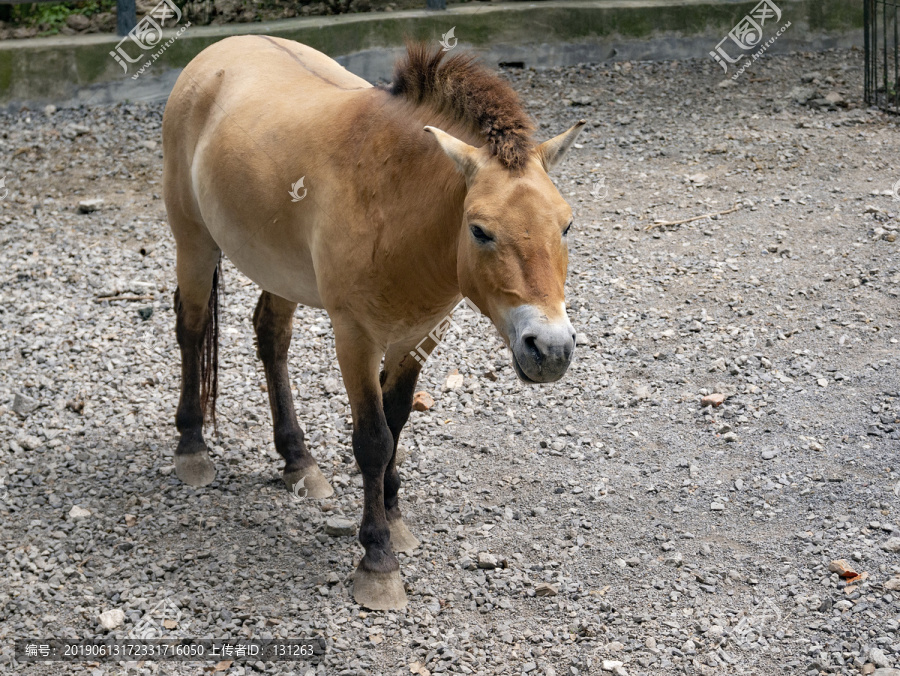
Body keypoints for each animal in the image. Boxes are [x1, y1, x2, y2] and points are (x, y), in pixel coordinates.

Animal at [162, 35, 584, 608]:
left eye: (566, 225)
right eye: (479, 230)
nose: (551, 349)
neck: (392, 199)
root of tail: (216, 54)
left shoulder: (420, 335)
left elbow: (397, 420)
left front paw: (395, 519)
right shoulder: (355, 337)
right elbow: (373, 439)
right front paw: (378, 561)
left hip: (278, 269)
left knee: (271, 338)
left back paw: (298, 461)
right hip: (193, 242)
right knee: (191, 327)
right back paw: (191, 450)